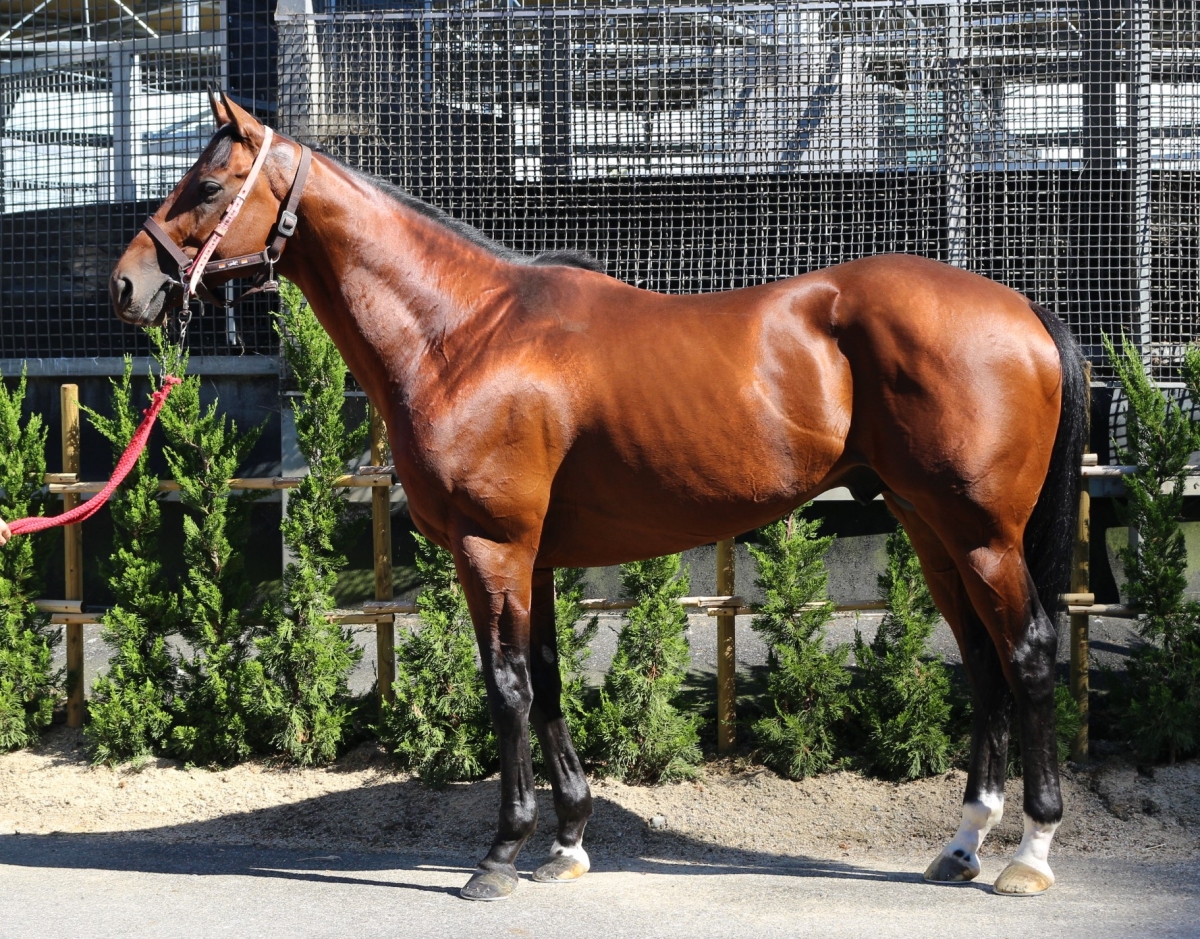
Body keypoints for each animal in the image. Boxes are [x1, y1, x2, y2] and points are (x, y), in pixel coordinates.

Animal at [111, 91, 1086, 901]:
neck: (464, 332)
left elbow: (506, 688)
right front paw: (567, 842)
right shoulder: (533, 556)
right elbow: (545, 682)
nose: (127, 284)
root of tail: (1028, 312)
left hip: (983, 534)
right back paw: (962, 845)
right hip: (933, 530)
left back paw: (1031, 854)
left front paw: (500, 855)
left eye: (206, 184)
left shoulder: (491, 546)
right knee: (986, 665)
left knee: (1030, 655)